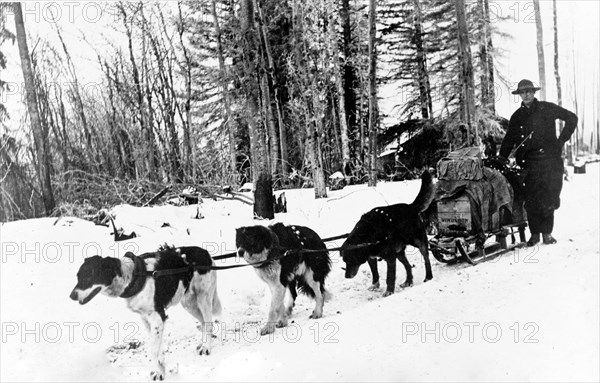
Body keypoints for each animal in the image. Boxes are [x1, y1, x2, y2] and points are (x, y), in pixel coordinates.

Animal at [70, 246, 220, 380]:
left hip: (203, 298)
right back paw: (203, 343)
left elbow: (153, 350)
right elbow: (158, 349)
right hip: (188, 303)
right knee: (203, 322)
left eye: (89, 278)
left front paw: (159, 372)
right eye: (77, 277)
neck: (133, 277)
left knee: (209, 323)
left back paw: (206, 347)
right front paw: (161, 368)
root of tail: (205, 253)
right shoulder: (145, 319)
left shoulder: (158, 318)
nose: (71, 296)